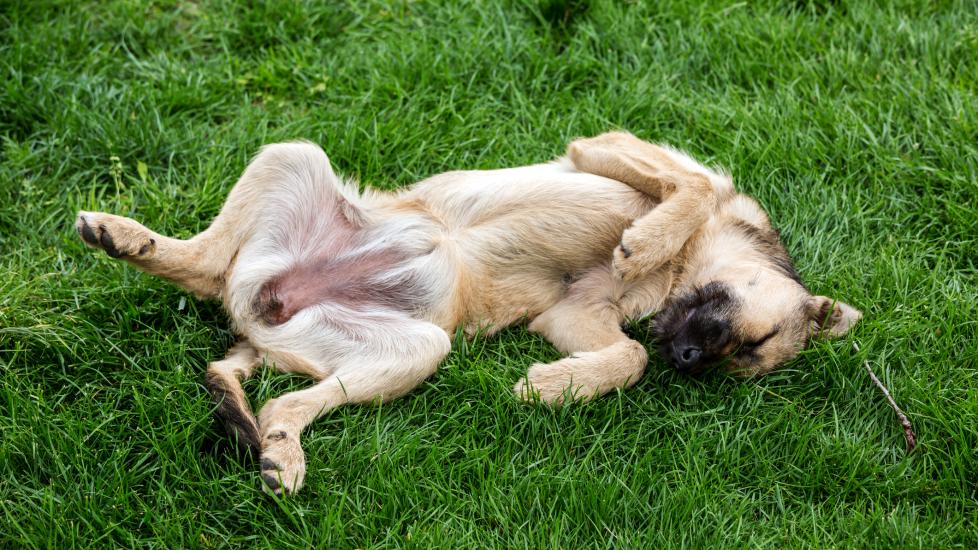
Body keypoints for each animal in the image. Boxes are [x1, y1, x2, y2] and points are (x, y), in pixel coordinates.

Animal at [72, 133, 856, 496]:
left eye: (741, 359)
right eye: (749, 337)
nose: (688, 360)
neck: (691, 265)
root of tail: (258, 318)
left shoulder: (577, 316)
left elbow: (627, 355)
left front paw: (556, 386)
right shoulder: (611, 150)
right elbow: (686, 187)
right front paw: (648, 238)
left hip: (413, 348)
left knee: (276, 400)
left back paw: (280, 449)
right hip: (293, 157)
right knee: (202, 263)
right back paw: (125, 235)